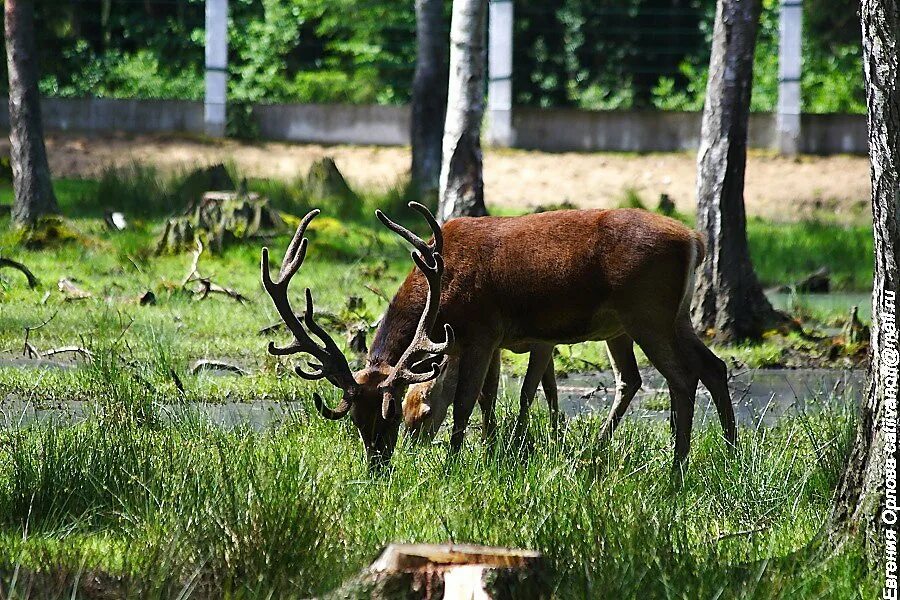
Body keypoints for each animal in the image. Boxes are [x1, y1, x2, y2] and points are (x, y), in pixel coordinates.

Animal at [258, 204, 732, 472]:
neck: (442, 294)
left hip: (646, 312)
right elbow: (489, 396)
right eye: (357, 421)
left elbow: (467, 400)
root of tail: (694, 238)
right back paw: (728, 453)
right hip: (667, 317)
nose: (377, 468)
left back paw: (677, 467)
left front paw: (455, 463)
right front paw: (490, 453)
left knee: (681, 376)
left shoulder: (482, 329)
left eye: (391, 417)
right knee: (712, 365)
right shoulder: (486, 338)